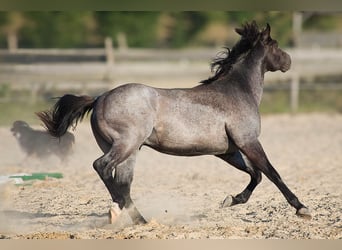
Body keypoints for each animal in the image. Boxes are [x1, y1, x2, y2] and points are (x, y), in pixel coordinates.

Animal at [36, 22, 312, 225]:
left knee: (122, 182)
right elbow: (272, 173)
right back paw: (121, 211)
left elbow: (256, 175)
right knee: (102, 167)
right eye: (275, 45)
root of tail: (99, 97)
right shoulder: (249, 142)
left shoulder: (227, 150)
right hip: (126, 144)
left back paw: (138, 220)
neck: (237, 91)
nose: (288, 61)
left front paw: (230, 200)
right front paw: (302, 208)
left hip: (129, 152)